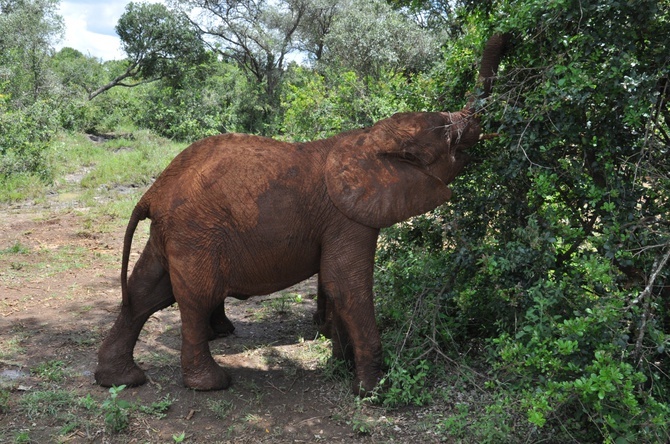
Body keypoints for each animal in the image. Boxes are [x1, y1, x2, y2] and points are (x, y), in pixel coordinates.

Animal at [94, 34, 512, 396]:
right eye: (447, 138)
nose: (507, 36)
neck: (367, 138)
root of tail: (153, 192)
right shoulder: (348, 218)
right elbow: (347, 284)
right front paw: (371, 390)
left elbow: (334, 282)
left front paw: (342, 364)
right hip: (196, 232)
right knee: (195, 297)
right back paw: (211, 384)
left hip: (173, 231)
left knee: (146, 292)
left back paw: (121, 380)